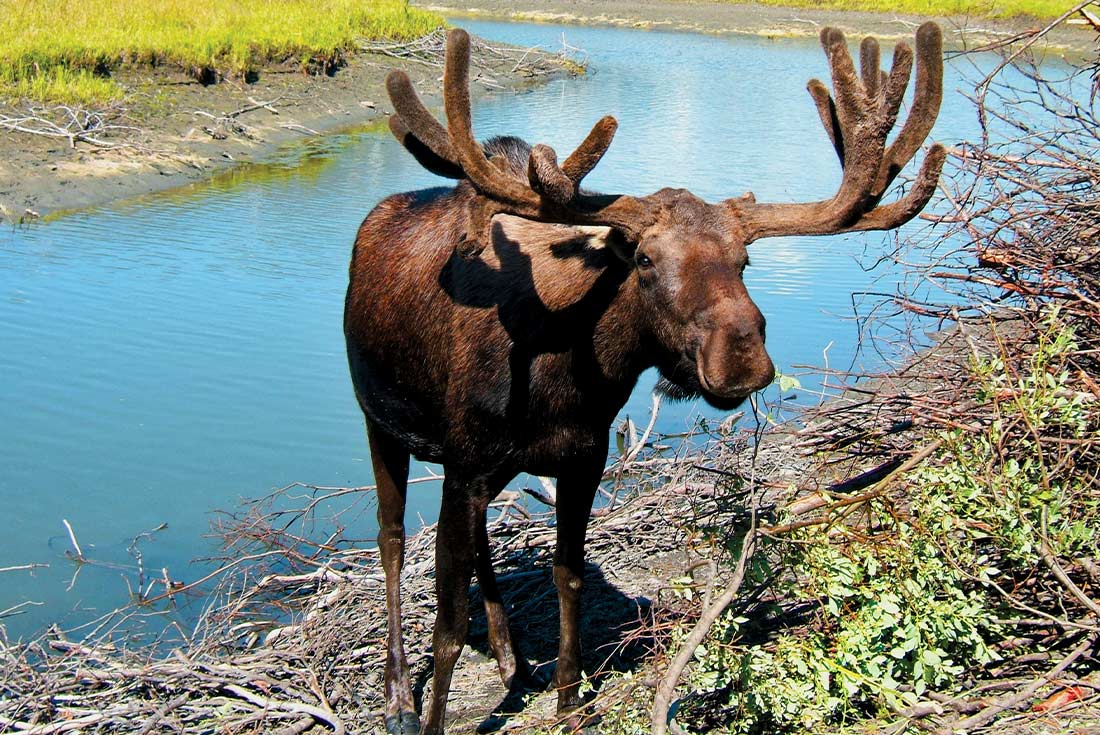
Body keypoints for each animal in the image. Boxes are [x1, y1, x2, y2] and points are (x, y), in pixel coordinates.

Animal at [344, 23, 944, 735]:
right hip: (382, 423)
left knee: (482, 542)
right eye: (647, 261)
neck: (563, 376)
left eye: (744, 261)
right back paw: (398, 695)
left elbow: (569, 575)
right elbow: (447, 621)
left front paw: (569, 699)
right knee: (391, 540)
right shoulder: (465, 462)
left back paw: (511, 658)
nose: (742, 360)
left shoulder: (582, 457)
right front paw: (430, 712)